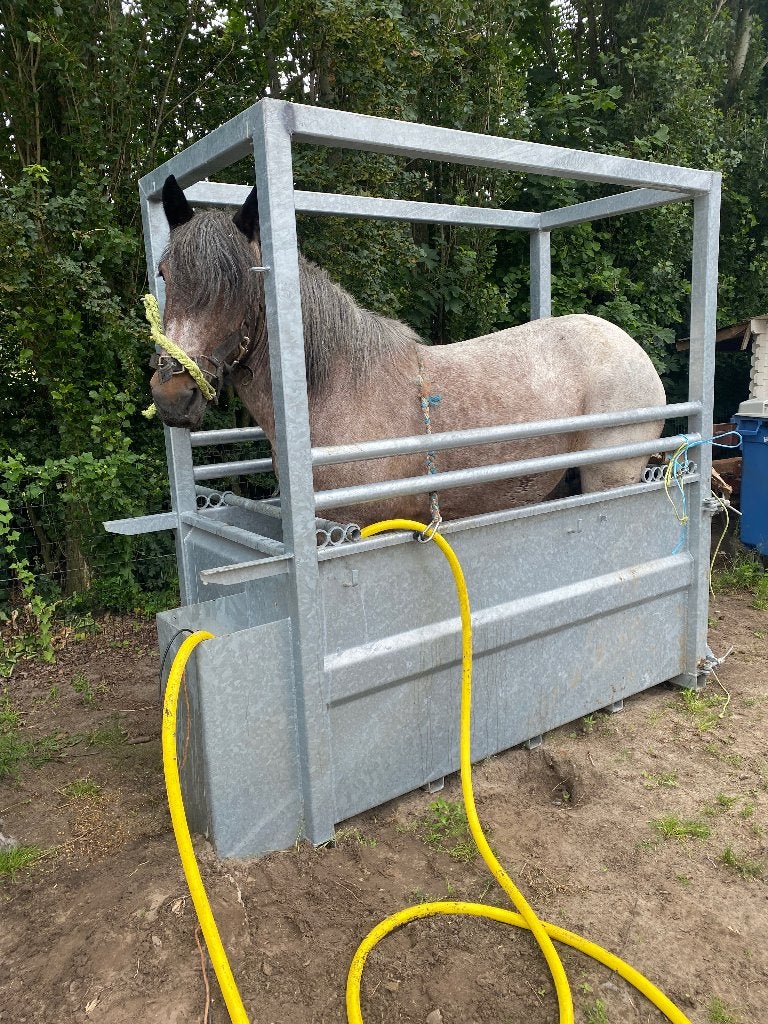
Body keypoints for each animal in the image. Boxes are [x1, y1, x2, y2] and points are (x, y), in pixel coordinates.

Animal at [150, 175, 666, 527]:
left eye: (238, 283)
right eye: (163, 273)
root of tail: (629, 346)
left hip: (609, 477)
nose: (171, 394)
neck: (334, 392)